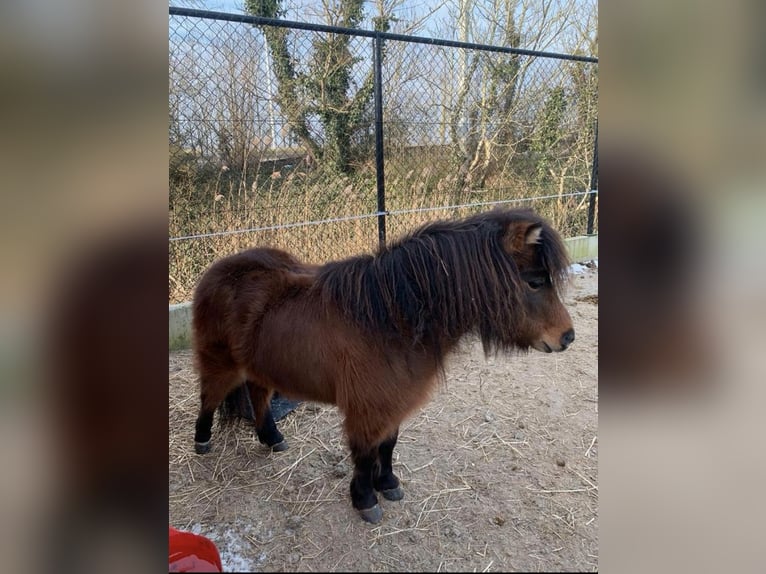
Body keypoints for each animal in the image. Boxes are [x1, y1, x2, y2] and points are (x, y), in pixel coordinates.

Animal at [192, 209, 576, 524]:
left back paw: (272, 438)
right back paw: (202, 442)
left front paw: (388, 483)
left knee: (257, 395)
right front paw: (365, 500)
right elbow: (364, 454)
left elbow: (387, 445)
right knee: (209, 397)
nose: (568, 337)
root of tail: (217, 270)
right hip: (220, 362)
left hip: (260, 366)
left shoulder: (393, 402)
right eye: (534, 281)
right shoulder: (367, 408)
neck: (390, 319)